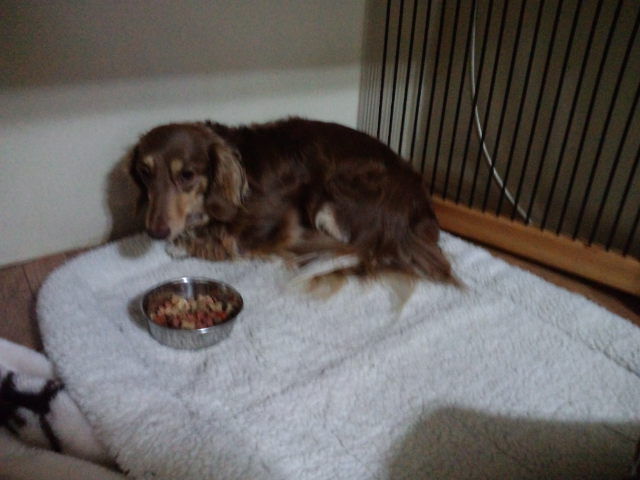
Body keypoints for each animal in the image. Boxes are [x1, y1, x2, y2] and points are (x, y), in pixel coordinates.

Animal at [129, 117, 456, 284]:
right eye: (145, 172)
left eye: (186, 175)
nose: (154, 232)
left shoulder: (275, 220)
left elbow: (231, 243)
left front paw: (183, 244)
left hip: (331, 195)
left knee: (355, 251)